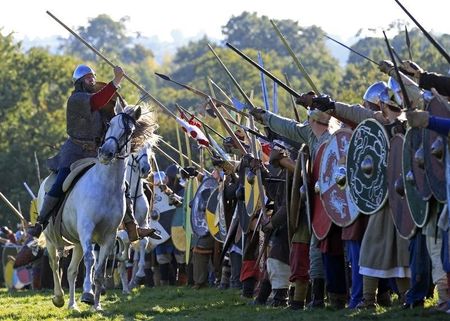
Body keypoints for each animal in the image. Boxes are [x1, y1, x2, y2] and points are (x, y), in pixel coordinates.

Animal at [41, 102, 156, 310]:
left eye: (128, 131)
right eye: (109, 125)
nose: (105, 153)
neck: (106, 186)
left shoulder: (110, 235)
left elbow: (103, 267)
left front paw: (97, 304)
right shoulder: (87, 229)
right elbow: (91, 260)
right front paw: (88, 294)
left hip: (77, 241)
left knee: (71, 270)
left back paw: (72, 305)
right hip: (51, 237)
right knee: (55, 263)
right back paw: (59, 297)